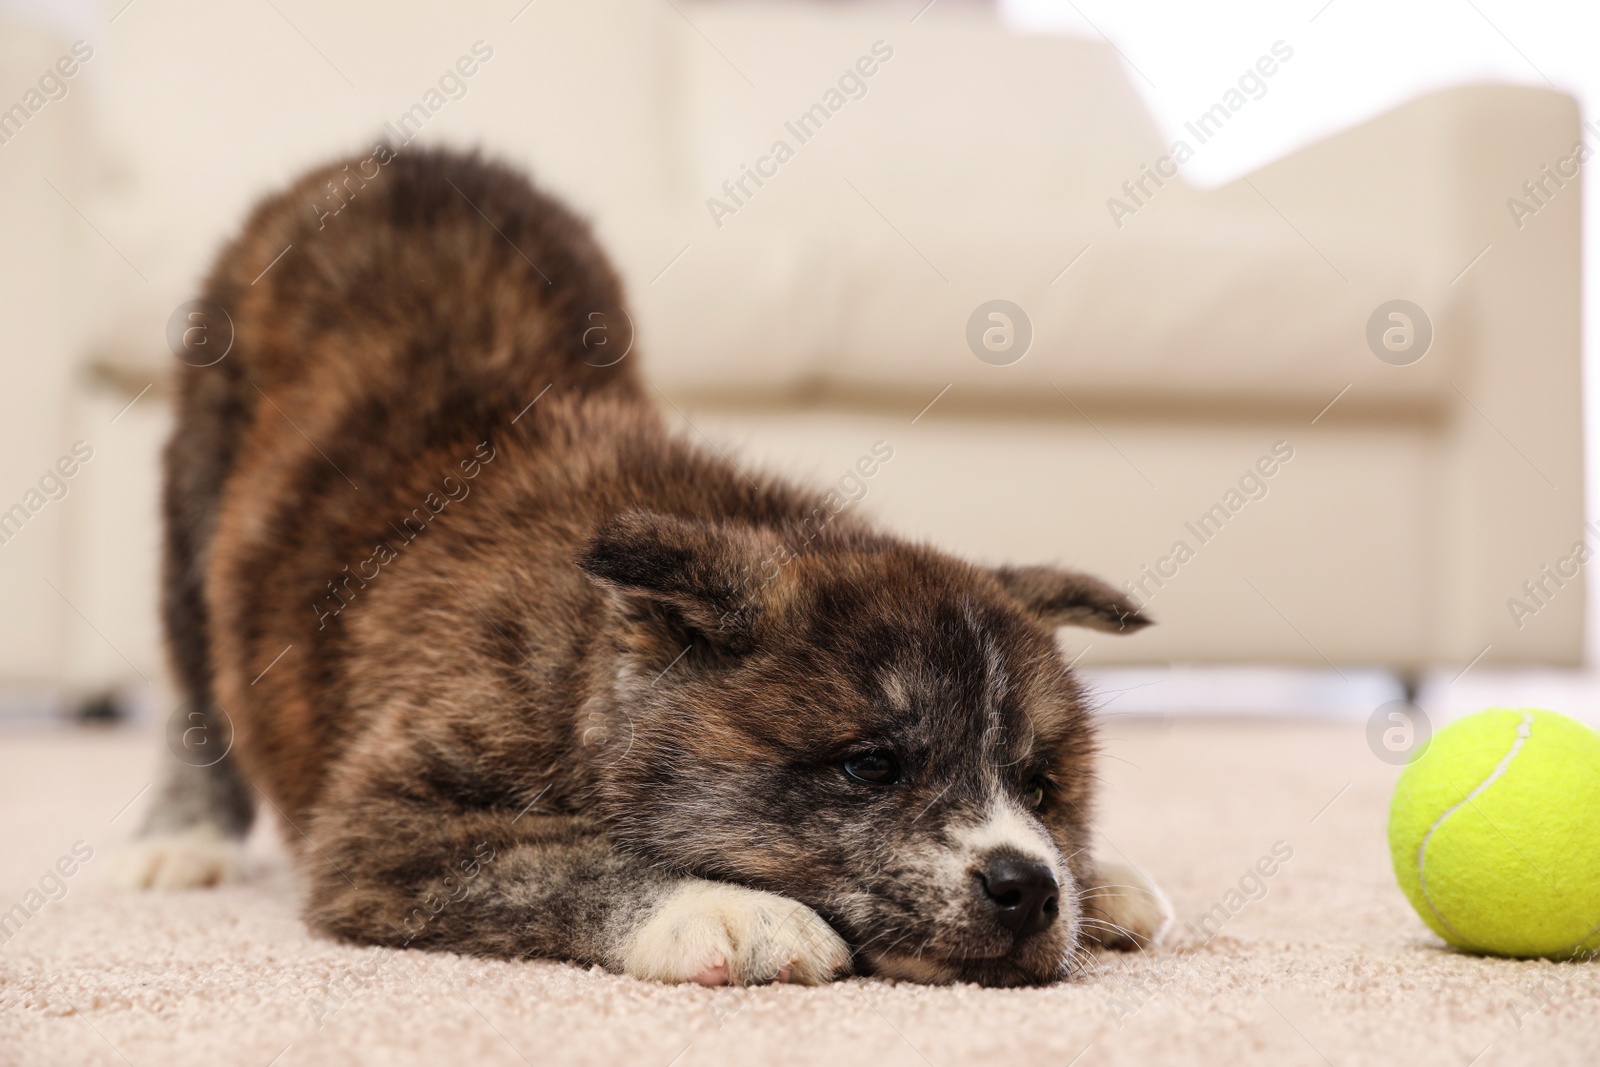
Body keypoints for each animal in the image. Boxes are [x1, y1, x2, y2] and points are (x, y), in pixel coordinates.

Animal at [112, 146, 1171, 991]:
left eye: (1041, 785)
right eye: (870, 765)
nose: (1028, 886)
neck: (589, 672)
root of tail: (390, 154)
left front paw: (1098, 877)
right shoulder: (376, 829)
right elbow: (563, 860)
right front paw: (719, 906)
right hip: (193, 493)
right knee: (195, 683)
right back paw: (180, 837)